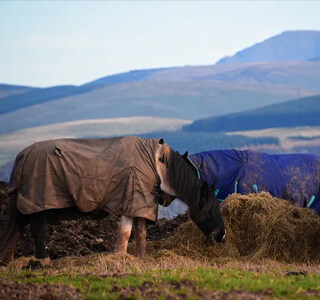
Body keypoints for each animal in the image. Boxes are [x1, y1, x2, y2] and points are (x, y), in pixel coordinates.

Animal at [0, 136, 225, 264]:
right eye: (210, 209)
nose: (222, 236)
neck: (159, 166)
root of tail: (23, 155)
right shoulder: (130, 201)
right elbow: (125, 234)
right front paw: (121, 258)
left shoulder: (142, 204)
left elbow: (141, 234)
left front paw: (141, 258)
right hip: (39, 203)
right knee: (37, 229)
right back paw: (44, 261)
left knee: (18, 228)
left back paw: (10, 261)